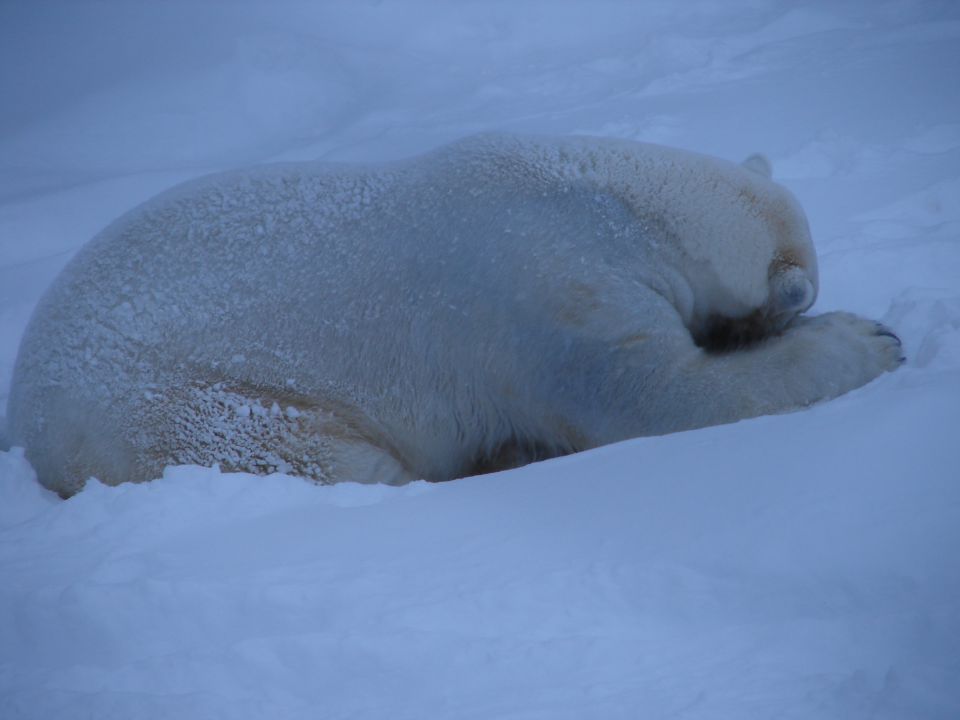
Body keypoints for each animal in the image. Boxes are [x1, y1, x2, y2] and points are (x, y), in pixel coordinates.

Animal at [5, 134, 900, 496]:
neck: (613, 199)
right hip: (167, 406)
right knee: (317, 459)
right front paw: (874, 337)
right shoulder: (550, 291)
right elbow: (663, 399)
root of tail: (22, 408)